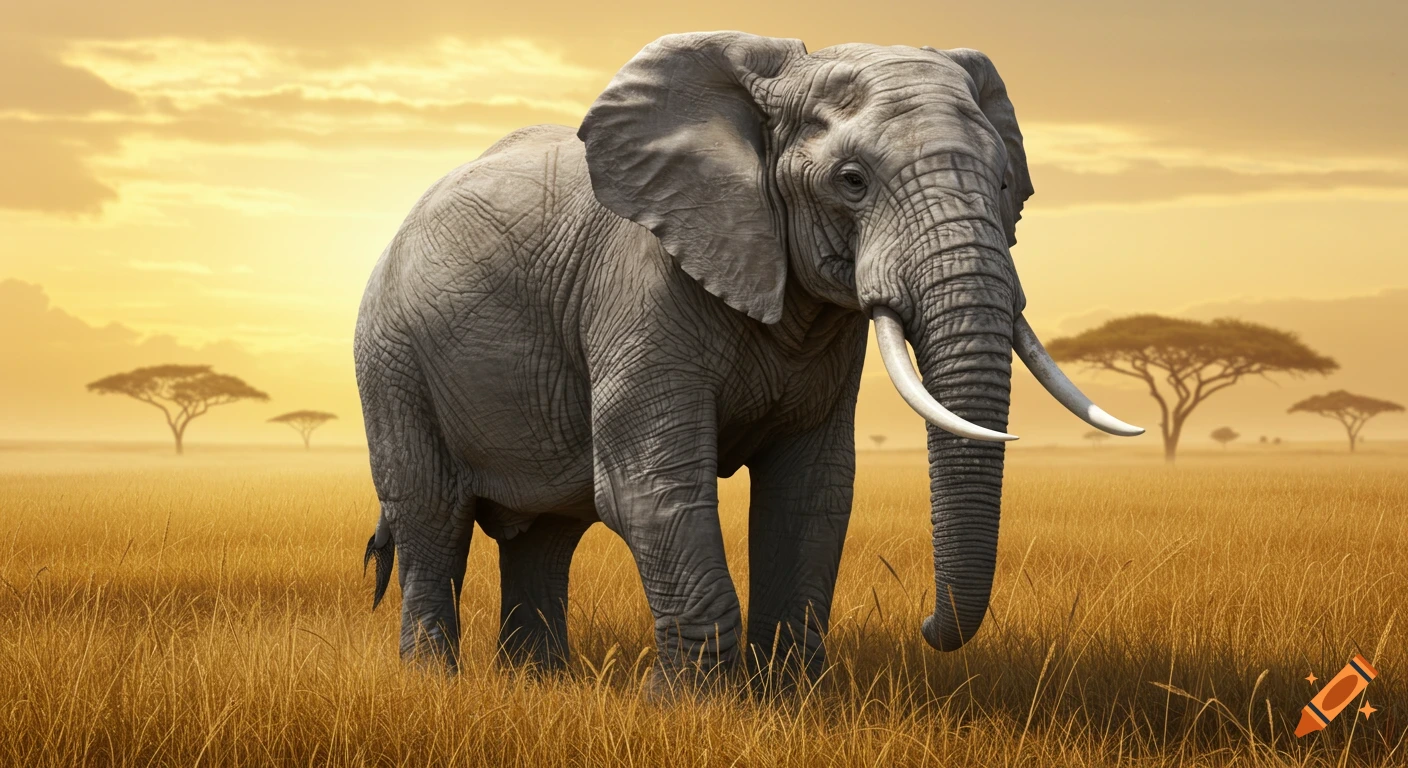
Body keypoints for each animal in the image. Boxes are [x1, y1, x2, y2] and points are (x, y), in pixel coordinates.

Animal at [354, 31, 1141, 685]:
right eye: (851, 180)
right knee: (433, 516)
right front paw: (687, 709)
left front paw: (788, 701)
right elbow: (650, 488)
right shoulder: (640, 292)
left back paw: (539, 683)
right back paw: (435, 684)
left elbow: (812, 492)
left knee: (547, 532)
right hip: (390, 358)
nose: (925, 623)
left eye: (1007, 184)